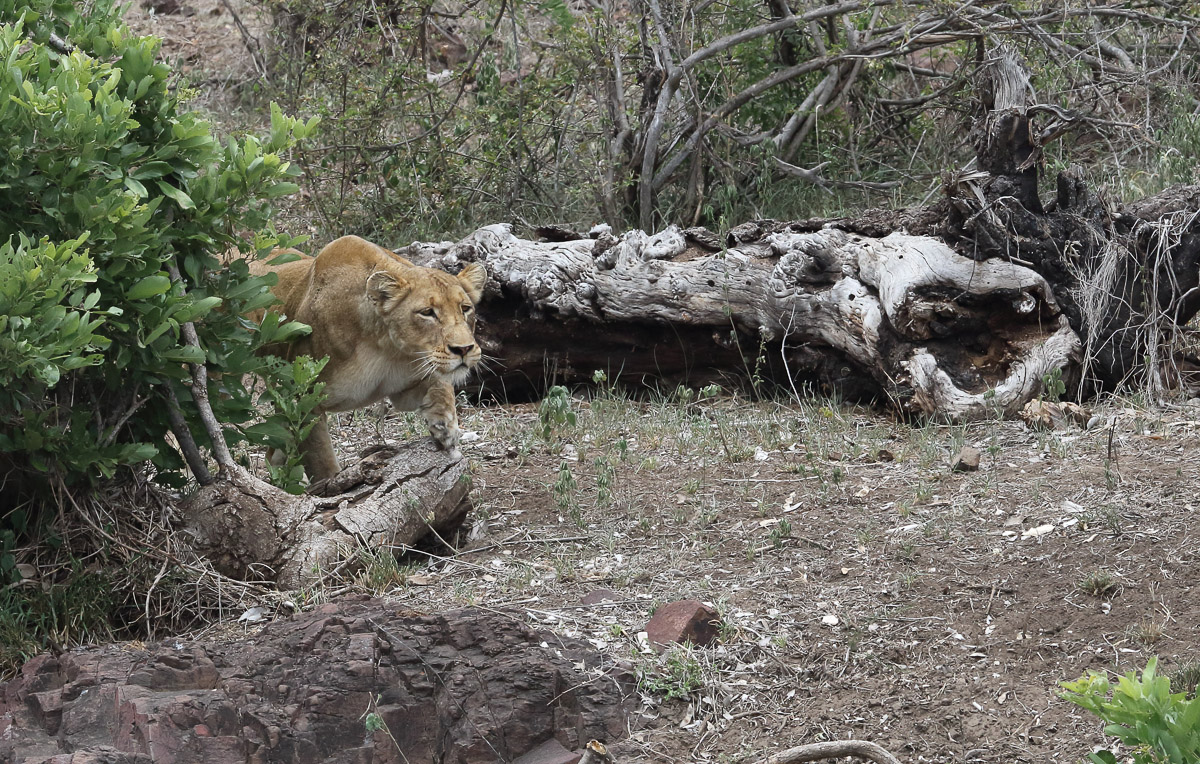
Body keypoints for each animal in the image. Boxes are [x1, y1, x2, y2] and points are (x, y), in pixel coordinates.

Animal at [249, 235, 486, 482]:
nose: (464, 349)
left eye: (465, 308)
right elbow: (320, 457)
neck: (386, 347)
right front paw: (331, 484)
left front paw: (446, 427)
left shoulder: (407, 385)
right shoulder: (304, 397)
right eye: (427, 312)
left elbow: (441, 385)